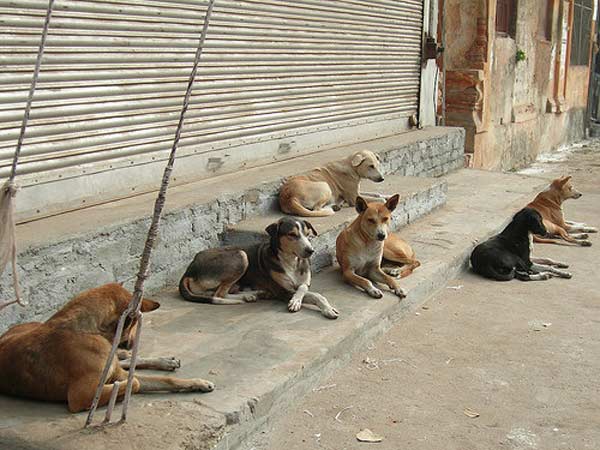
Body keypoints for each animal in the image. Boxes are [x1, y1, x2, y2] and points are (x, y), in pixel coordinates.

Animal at [0, 284, 214, 414]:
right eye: (134, 322)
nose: (132, 343)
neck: (89, 330)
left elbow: (165, 380)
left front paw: (198, 382)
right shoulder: (81, 396)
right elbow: (135, 381)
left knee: (126, 359)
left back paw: (164, 361)